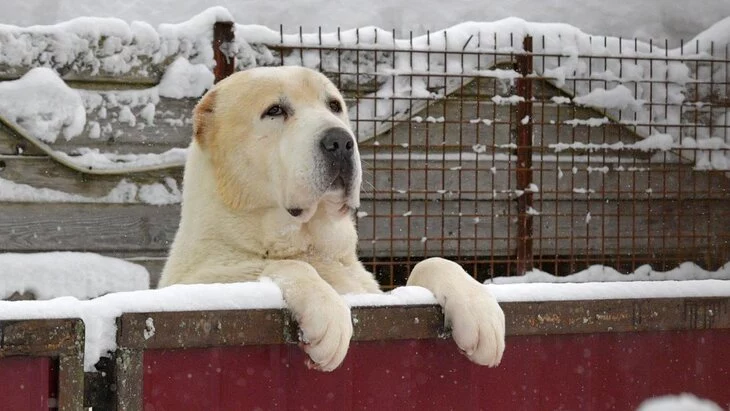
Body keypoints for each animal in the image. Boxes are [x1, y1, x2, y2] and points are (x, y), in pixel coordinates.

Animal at [157, 66, 504, 372]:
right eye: (274, 110)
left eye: (334, 105)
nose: (339, 141)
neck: (310, 244)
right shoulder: (201, 282)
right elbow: (288, 266)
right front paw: (327, 311)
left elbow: (433, 262)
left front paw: (479, 307)